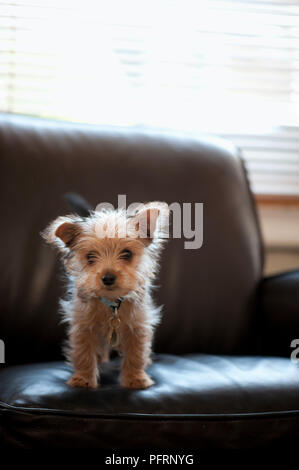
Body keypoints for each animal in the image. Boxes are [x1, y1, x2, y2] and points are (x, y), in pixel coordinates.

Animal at [42, 201, 169, 390]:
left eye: (127, 253)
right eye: (90, 257)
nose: (108, 278)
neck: (112, 303)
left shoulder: (138, 326)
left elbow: (136, 354)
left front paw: (135, 379)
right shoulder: (83, 326)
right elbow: (83, 353)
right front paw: (83, 379)